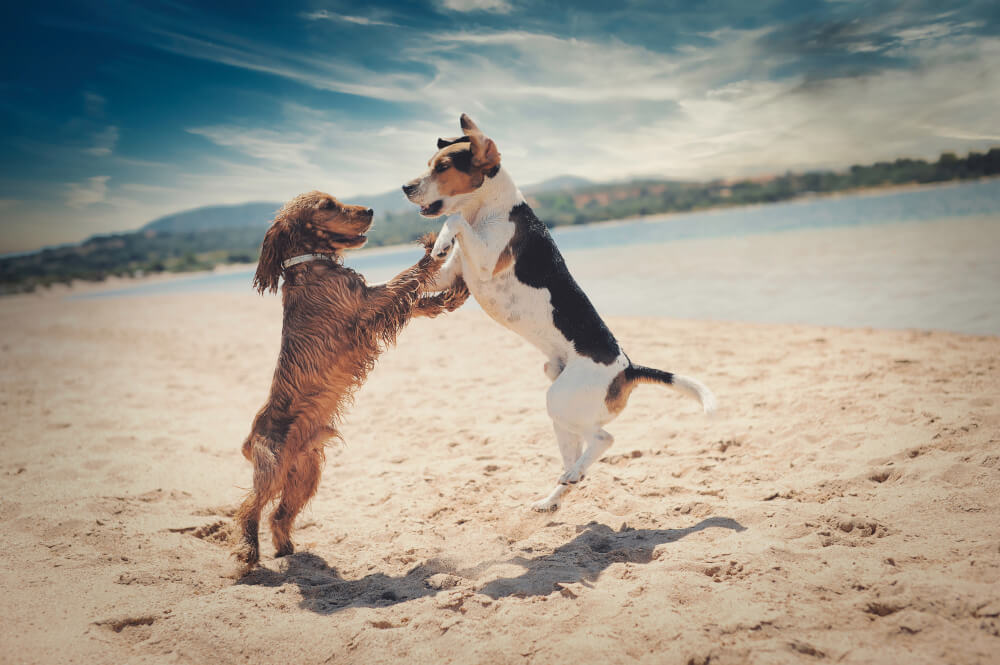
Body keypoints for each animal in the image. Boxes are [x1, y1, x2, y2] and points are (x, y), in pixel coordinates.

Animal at [235, 189, 468, 568]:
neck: (310, 265)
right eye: (328, 205)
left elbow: (415, 300)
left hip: (306, 475)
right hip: (272, 471)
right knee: (247, 509)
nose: (370, 209)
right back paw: (249, 552)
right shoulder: (366, 303)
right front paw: (433, 248)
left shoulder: (372, 305)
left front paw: (452, 296)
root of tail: (251, 436)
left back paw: (286, 549)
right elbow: (409, 278)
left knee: (279, 515)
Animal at [402, 114, 716, 510]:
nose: (405, 187)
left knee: (604, 439)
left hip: (561, 400)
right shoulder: (450, 276)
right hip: (561, 410)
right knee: (576, 459)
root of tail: (628, 368)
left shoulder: (485, 260)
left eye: (442, 167)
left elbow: (453, 221)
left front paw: (441, 240)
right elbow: (418, 276)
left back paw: (572, 476)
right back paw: (555, 494)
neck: (490, 209)